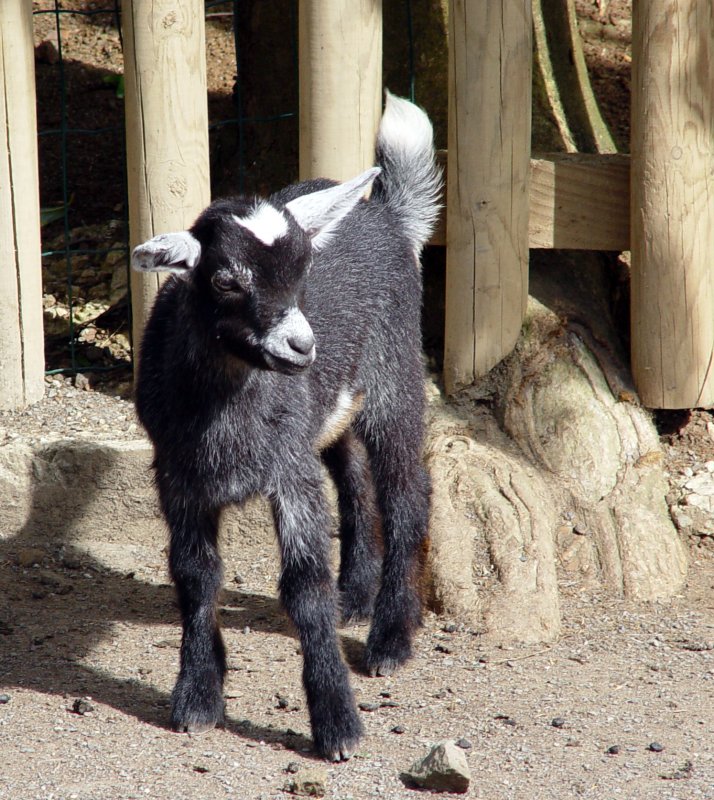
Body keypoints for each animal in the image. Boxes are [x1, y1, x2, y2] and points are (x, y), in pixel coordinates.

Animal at [129, 90, 440, 760]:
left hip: (395, 375)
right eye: (225, 279)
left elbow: (303, 585)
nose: (302, 347)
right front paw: (198, 696)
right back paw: (356, 596)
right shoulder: (177, 476)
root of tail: (388, 216)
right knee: (356, 482)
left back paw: (390, 638)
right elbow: (195, 575)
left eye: (302, 271)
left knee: (408, 494)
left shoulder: (289, 472)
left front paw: (338, 723)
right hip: (332, 411)